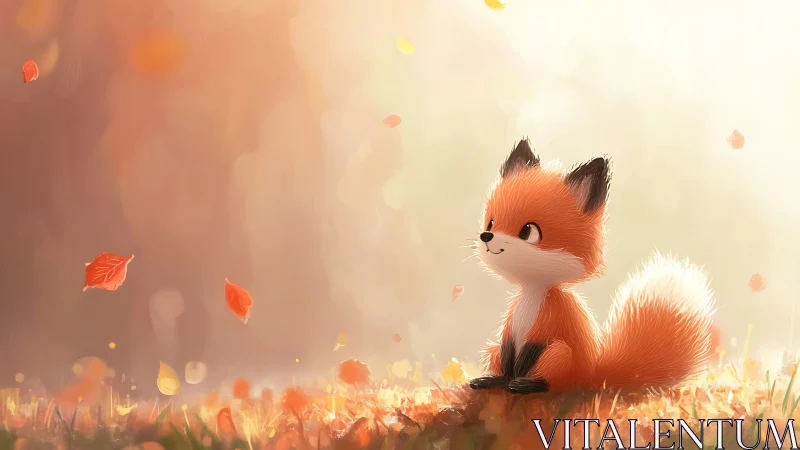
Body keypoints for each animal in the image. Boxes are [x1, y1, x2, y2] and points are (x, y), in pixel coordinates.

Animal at [469, 138, 716, 394]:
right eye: (491, 222)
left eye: (528, 231)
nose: (486, 236)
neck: (532, 295)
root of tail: (591, 373)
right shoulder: (509, 329)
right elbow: (508, 355)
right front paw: (504, 379)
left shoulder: (549, 322)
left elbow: (527, 355)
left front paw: (516, 379)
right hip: (492, 349)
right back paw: (492, 380)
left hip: (558, 354)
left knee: (554, 380)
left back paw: (528, 383)